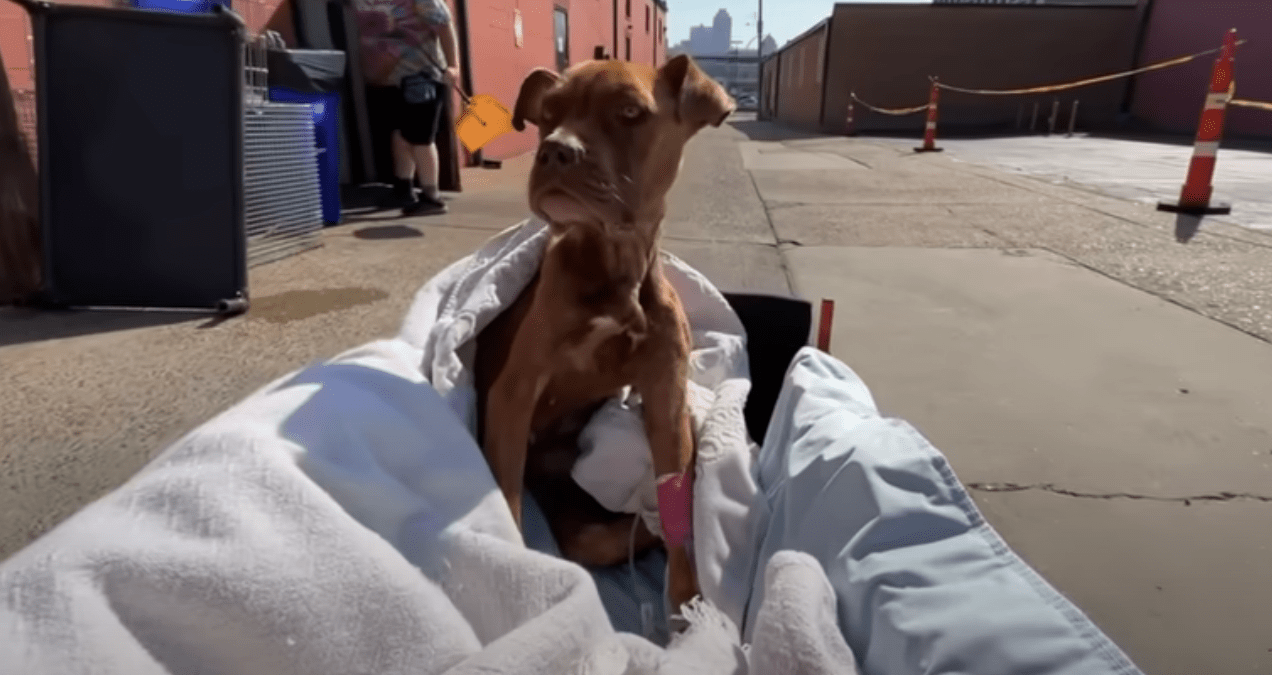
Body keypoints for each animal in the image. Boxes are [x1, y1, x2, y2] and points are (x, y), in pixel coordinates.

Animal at [475, 55, 737, 615]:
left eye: (630, 112)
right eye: (548, 114)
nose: (555, 150)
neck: (615, 270)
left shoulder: (665, 400)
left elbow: (678, 513)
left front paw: (688, 609)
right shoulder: (513, 394)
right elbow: (506, 499)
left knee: (622, 533)